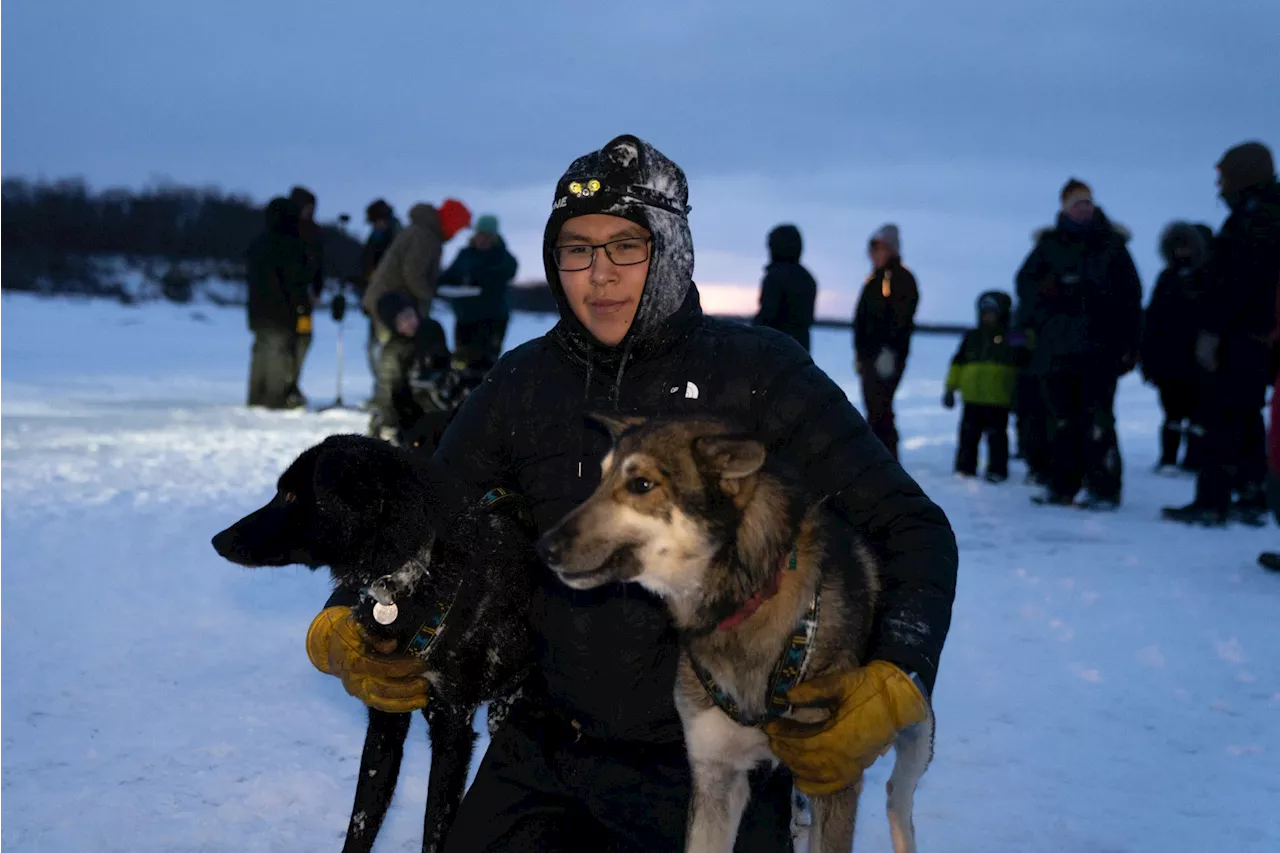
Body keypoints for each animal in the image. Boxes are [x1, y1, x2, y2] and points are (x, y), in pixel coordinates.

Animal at [212, 435, 532, 845]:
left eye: (290, 495)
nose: (217, 540)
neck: (414, 576)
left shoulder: (452, 727)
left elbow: (435, 829)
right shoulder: (385, 716)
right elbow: (362, 821)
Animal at [535, 414, 936, 845]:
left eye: (641, 484)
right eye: (601, 478)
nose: (544, 547)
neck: (744, 605)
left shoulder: (833, 777)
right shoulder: (716, 773)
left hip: (913, 723)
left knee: (899, 797)